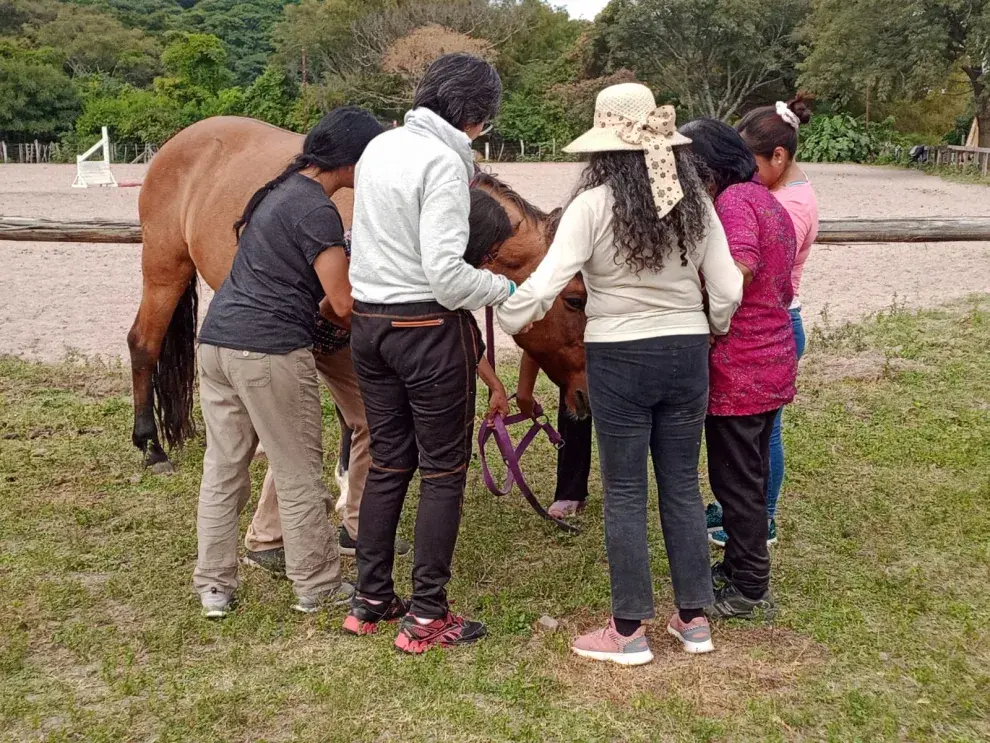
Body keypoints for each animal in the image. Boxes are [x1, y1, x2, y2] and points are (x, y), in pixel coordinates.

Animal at [127, 117, 584, 470]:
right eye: (576, 299)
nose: (584, 399)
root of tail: (175, 144)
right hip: (164, 269)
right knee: (143, 343)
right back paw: (151, 447)